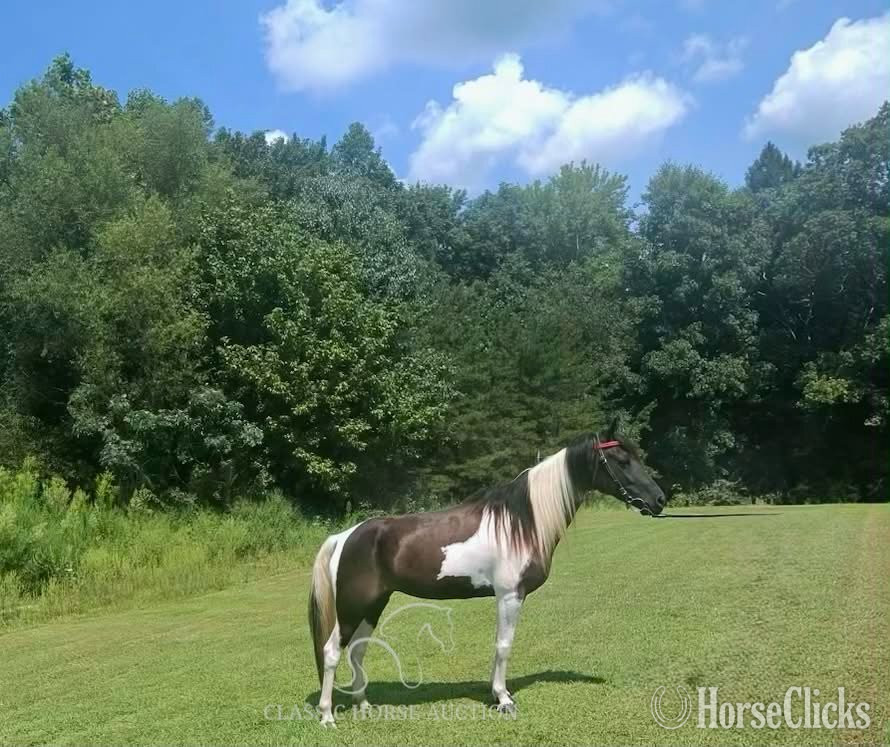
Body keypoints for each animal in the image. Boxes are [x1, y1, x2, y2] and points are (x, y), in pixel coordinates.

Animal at [307, 420, 666, 726]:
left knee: (357, 650)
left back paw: (364, 705)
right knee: (332, 651)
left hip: (373, 605)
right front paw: (504, 699)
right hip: (352, 606)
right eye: (622, 460)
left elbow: (498, 644)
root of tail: (344, 536)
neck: (522, 522)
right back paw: (327, 715)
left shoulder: (505, 597)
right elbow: (504, 645)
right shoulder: (510, 595)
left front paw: (496, 694)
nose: (660, 500)